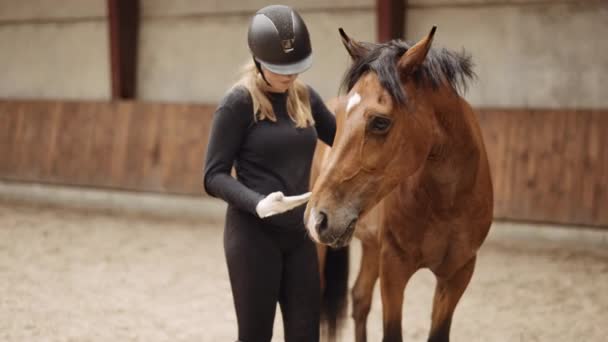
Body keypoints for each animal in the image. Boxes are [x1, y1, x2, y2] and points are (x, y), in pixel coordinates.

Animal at [308, 27, 494, 342]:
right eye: (340, 118)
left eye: (380, 122)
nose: (318, 218)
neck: (446, 204)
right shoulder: (394, 268)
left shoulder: (457, 274)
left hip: (370, 245)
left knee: (360, 299)